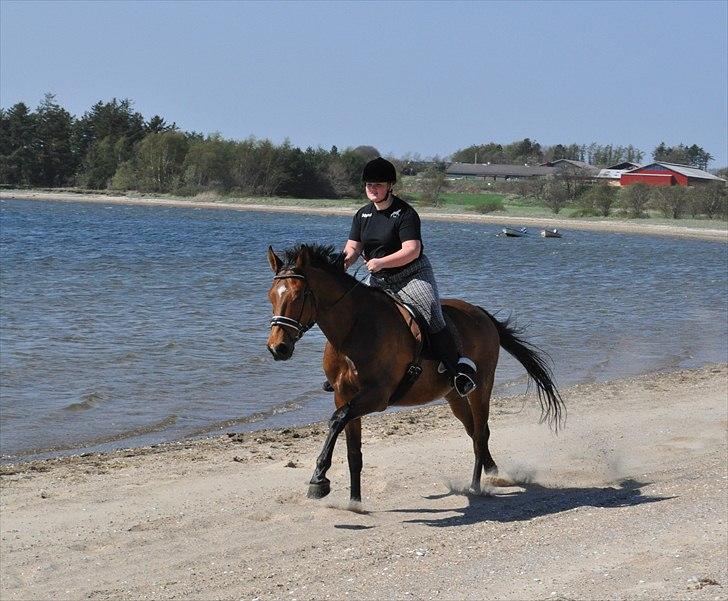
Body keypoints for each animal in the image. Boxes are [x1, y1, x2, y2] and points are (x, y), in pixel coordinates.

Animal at [266, 244, 564, 502]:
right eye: (271, 295)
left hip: (482, 387)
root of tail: (481, 314)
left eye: (298, 296)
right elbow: (352, 452)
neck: (353, 329)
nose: (277, 348)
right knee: (474, 431)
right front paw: (354, 501)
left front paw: (319, 480)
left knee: (480, 432)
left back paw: (476, 485)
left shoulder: (376, 397)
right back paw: (491, 471)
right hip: (452, 395)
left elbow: (336, 420)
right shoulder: (343, 395)